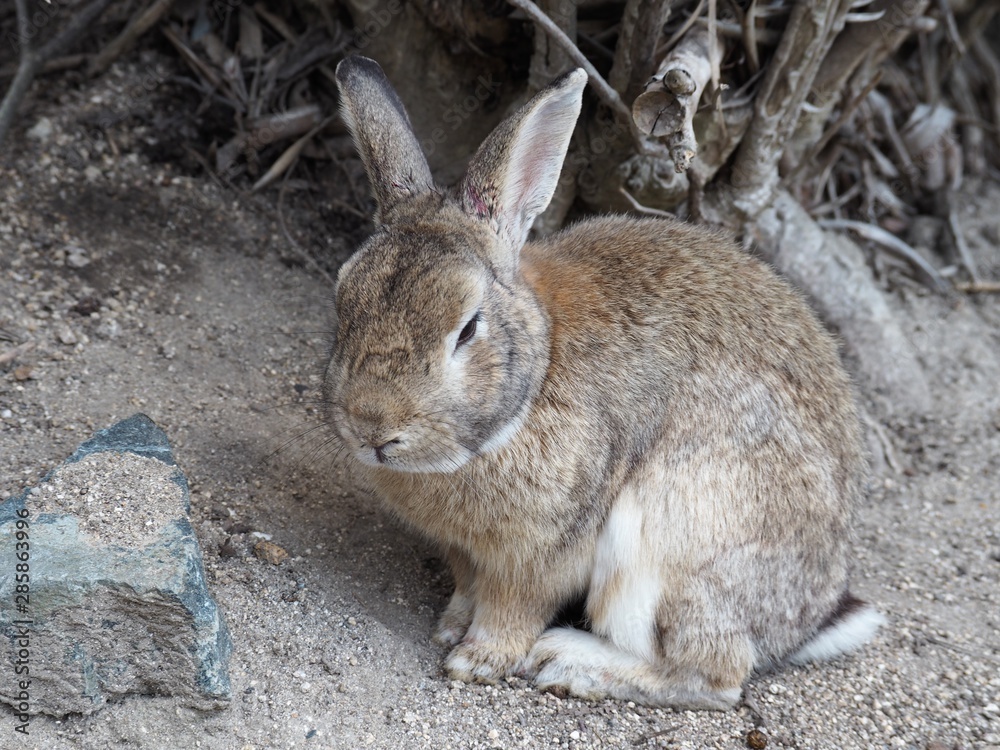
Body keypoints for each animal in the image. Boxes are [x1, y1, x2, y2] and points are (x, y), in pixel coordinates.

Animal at [324, 54, 888, 712]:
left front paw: (477, 659)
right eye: (343, 299)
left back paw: (573, 664)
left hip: (669, 542)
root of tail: (807, 617)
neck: (535, 374)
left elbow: (513, 609)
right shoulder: (464, 551)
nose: (372, 427)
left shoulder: (543, 553)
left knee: (715, 678)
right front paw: (451, 628)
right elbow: (468, 588)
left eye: (467, 329)